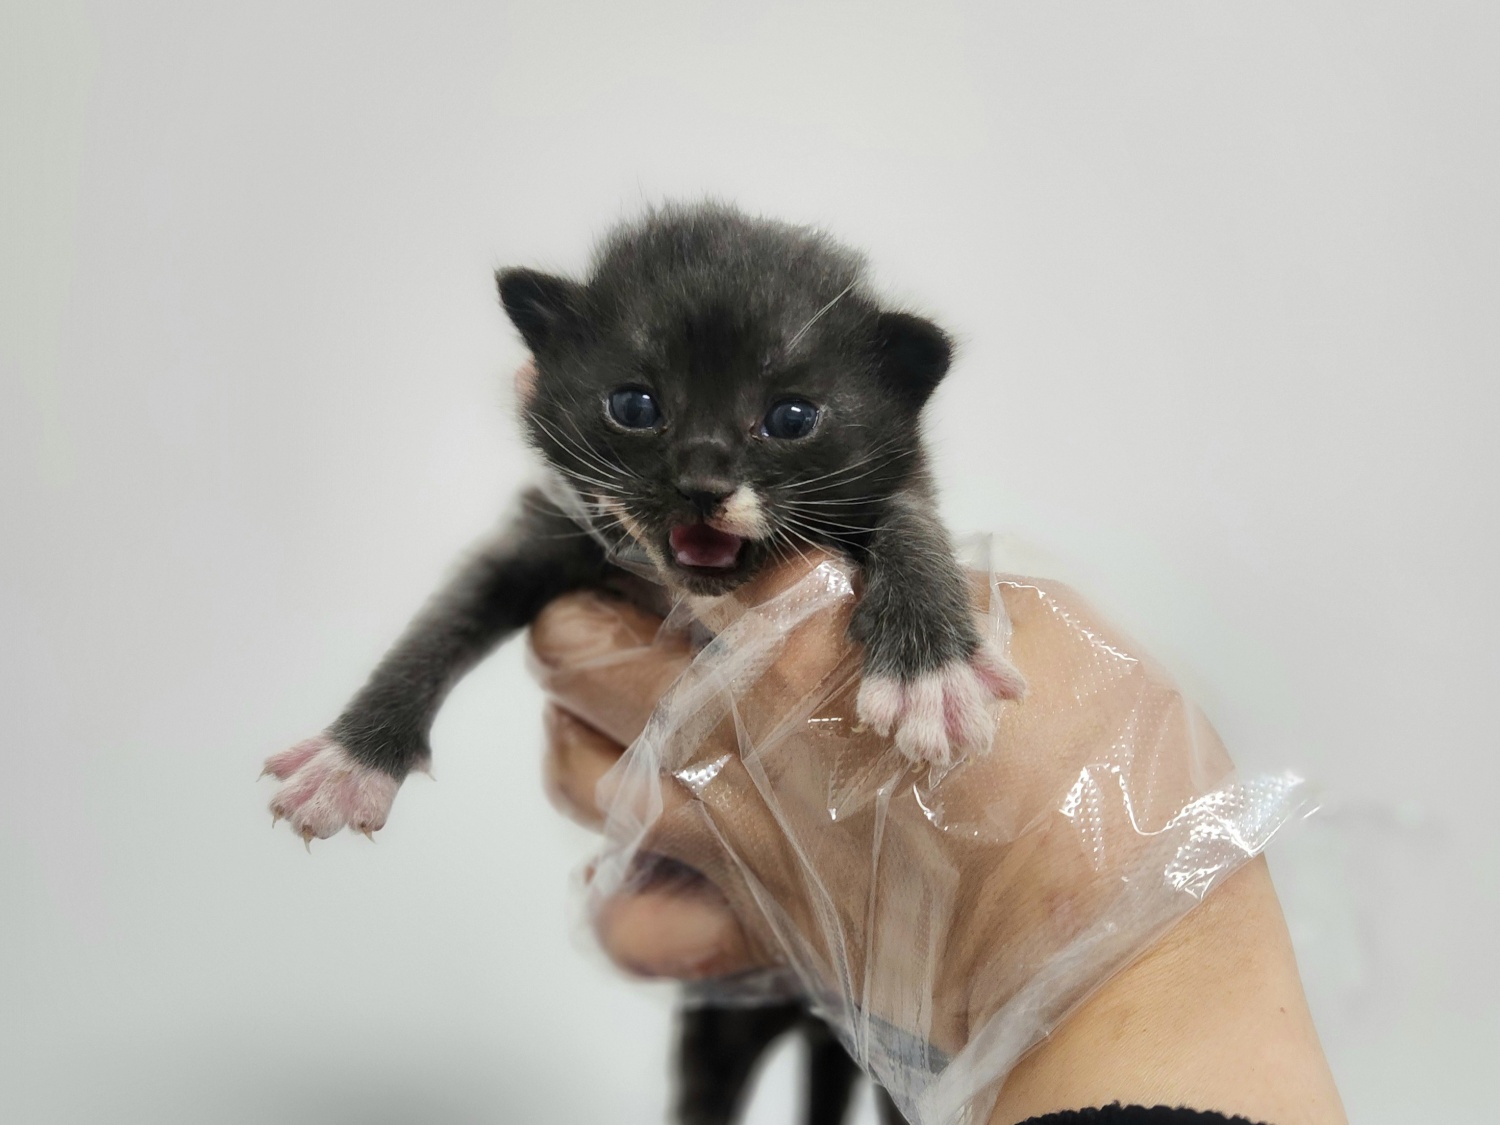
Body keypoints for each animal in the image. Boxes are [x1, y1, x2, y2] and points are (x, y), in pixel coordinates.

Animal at [264, 202, 1026, 1125]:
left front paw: (928, 668)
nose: (701, 479)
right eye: (635, 403)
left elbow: (913, 527)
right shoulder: (540, 530)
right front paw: (351, 760)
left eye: (791, 417)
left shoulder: (899, 488)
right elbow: (437, 629)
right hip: (718, 1023)